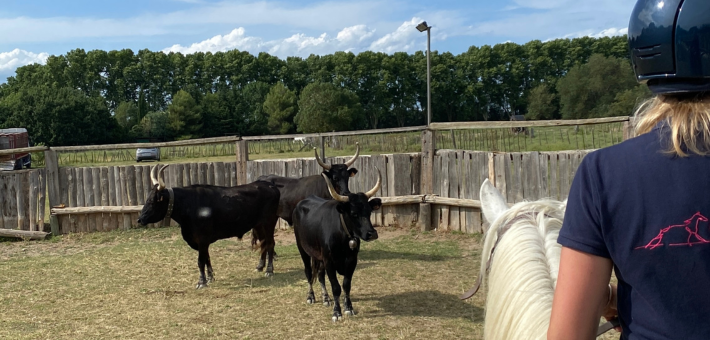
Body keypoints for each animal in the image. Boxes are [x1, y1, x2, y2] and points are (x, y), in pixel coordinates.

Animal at [136, 165, 280, 286]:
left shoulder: (202, 239)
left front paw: (201, 282)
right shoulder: (201, 242)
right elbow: (207, 258)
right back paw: (260, 267)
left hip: (269, 222)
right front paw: (210, 277)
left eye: (152, 201)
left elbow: (201, 261)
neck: (189, 204)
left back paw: (269, 271)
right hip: (258, 225)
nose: (140, 219)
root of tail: (269, 185)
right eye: (147, 199)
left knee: (270, 243)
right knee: (263, 243)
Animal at [294, 170, 384, 322]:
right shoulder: (329, 261)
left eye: (369, 211)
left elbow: (346, 285)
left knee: (320, 275)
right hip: (303, 249)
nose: (372, 233)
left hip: (319, 256)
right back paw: (311, 296)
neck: (343, 237)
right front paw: (337, 312)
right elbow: (336, 287)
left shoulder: (352, 261)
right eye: (354, 213)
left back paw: (325, 298)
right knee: (308, 272)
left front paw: (348, 308)